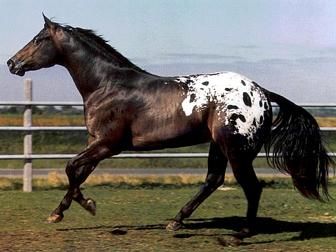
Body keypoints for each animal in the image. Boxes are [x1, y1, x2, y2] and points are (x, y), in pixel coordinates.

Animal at [7, 15, 334, 238]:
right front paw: (59, 213)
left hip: (237, 151)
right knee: (213, 180)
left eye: (38, 39)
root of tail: (262, 92)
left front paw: (87, 205)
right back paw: (176, 221)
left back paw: (241, 233)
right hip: (219, 146)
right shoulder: (96, 143)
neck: (107, 85)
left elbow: (71, 168)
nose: (12, 63)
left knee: (251, 187)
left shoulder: (108, 144)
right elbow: (78, 173)